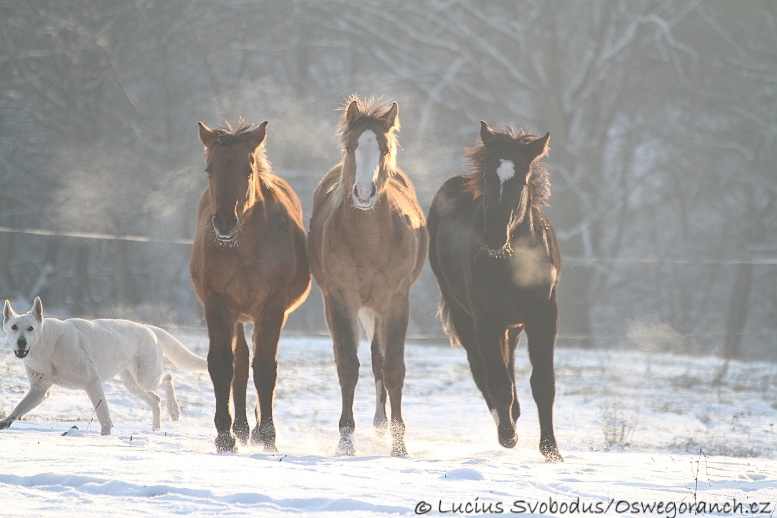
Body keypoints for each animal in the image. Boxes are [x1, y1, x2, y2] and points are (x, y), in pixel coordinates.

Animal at [1, 298, 208, 436]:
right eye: (14, 327)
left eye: (30, 328)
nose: (21, 342)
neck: (47, 345)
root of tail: (149, 327)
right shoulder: (40, 389)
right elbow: (19, 408)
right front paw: (5, 422)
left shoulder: (92, 382)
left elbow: (103, 415)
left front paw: (105, 436)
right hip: (132, 384)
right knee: (156, 399)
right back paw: (156, 429)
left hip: (146, 377)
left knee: (168, 378)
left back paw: (174, 411)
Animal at [190, 121, 310, 456]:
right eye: (209, 169)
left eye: (247, 169)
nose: (224, 224)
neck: (244, 248)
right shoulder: (218, 304)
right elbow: (222, 365)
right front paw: (224, 436)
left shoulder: (272, 306)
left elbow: (265, 368)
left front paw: (268, 435)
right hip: (238, 316)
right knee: (240, 364)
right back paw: (241, 428)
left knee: (253, 362)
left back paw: (253, 429)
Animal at [306, 95, 428, 458]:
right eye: (349, 147)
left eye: (384, 149)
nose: (363, 192)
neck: (370, 240)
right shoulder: (340, 300)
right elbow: (348, 366)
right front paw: (345, 442)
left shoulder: (396, 301)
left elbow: (393, 369)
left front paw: (399, 445)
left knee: (378, 361)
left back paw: (381, 425)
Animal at [428, 122, 560, 464]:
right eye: (487, 177)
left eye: (522, 180)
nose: (494, 236)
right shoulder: (485, 320)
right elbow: (498, 382)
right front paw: (507, 436)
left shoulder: (544, 317)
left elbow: (543, 383)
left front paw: (551, 450)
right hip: (464, 316)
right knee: (483, 372)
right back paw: (507, 423)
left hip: (510, 327)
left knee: (508, 365)